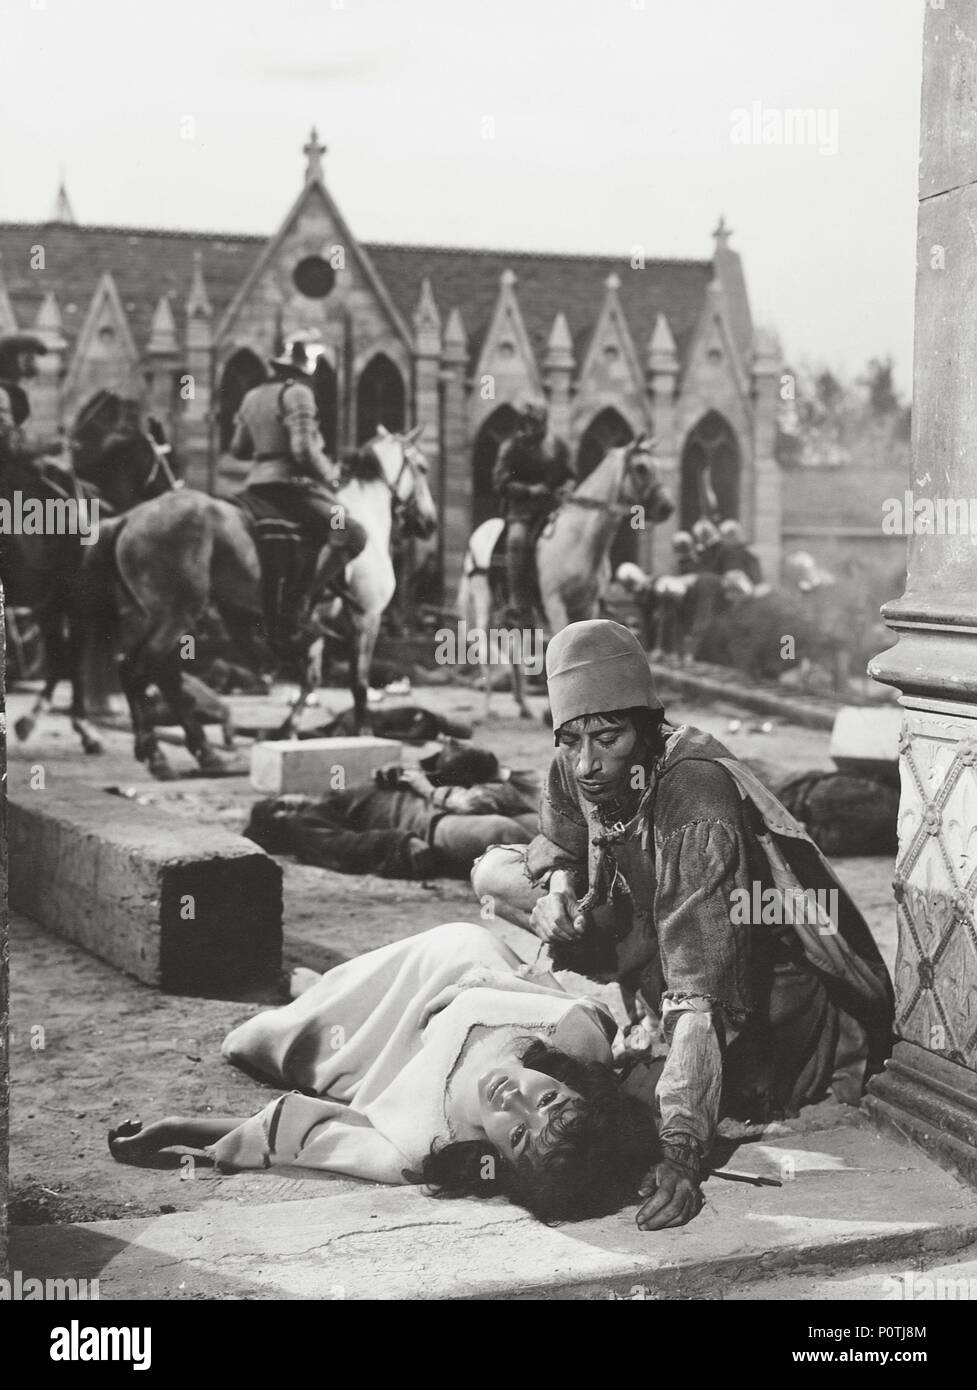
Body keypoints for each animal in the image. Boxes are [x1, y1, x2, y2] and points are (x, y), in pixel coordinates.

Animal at [83, 422, 436, 778]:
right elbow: (359, 683)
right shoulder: (366, 618)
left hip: (157, 617)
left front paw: (286, 732)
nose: (429, 523)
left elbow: (311, 679)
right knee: (139, 669)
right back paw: (157, 753)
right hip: (175, 615)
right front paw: (363, 734)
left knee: (159, 674)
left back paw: (202, 753)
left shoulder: (317, 625)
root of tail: (129, 519)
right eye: (422, 468)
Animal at [455, 430, 672, 717]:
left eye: (658, 466)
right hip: (483, 602)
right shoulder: (555, 603)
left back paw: (523, 705)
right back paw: (487, 708)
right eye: (641, 467)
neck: (580, 539)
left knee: (513, 649)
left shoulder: (588, 607)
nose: (667, 507)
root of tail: (479, 532)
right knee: (483, 643)